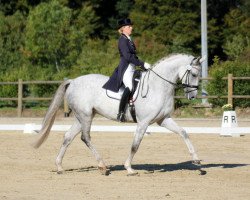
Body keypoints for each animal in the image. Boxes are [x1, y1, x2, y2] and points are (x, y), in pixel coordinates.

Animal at [33, 53, 205, 175]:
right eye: (194, 74)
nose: (192, 96)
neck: (158, 86)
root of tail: (73, 81)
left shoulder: (163, 119)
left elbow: (183, 132)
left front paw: (196, 160)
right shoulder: (143, 122)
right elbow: (135, 145)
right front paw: (129, 168)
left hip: (82, 116)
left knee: (68, 137)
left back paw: (59, 167)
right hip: (85, 116)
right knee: (85, 137)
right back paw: (102, 166)